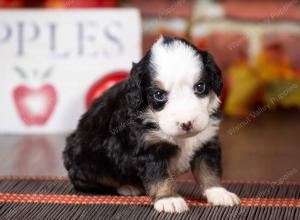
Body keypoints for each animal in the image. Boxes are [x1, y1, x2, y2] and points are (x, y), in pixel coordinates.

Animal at [62, 36, 239, 213]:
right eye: (159, 95)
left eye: (200, 87)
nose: (186, 123)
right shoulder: (149, 147)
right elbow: (159, 176)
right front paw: (169, 199)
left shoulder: (206, 140)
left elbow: (209, 170)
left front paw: (219, 192)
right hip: (89, 160)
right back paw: (128, 187)